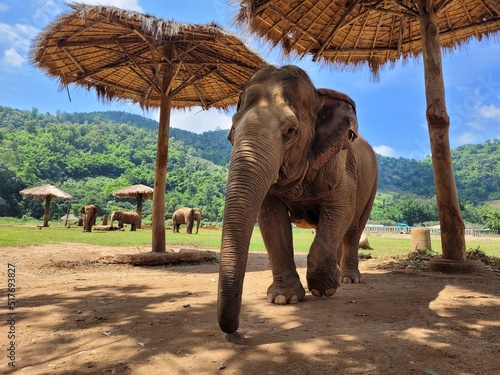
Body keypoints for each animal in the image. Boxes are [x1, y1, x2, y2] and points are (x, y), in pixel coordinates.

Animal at [217, 65, 376, 334]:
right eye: (232, 134)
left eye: (290, 131)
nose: (234, 329)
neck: (318, 95)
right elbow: (271, 219)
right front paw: (284, 298)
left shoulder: (341, 168)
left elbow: (341, 207)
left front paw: (324, 289)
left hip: (372, 184)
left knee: (353, 228)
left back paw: (348, 279)